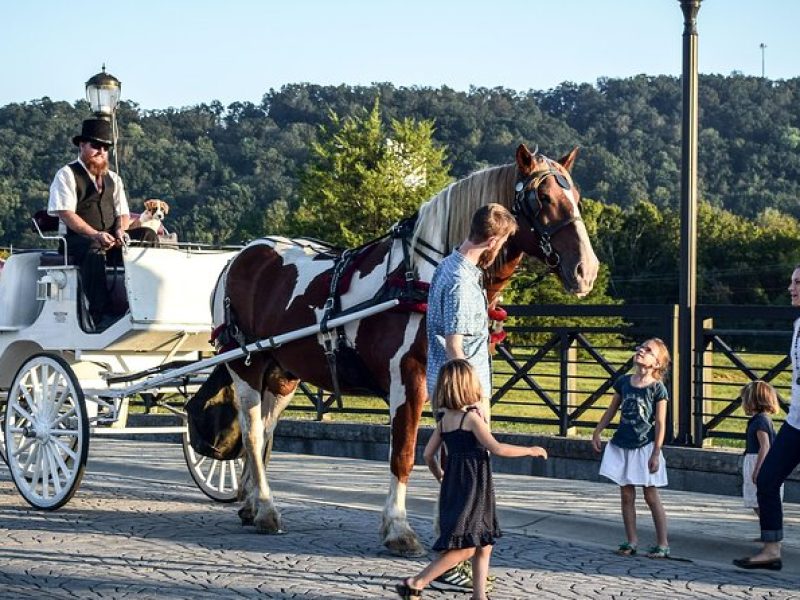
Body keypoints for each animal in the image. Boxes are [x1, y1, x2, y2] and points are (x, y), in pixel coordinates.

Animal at [209, 143, 596, 556]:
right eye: (543, 198)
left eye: (576, 197)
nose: (586, 270)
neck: (428, 278)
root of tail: (240, 256)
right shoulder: (408, 380)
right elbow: (404, 453)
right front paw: (398, 528)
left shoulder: (452, 378)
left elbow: (454, 448)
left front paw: (452, 528)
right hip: (245, 366)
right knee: (251, 431)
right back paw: (266, 508)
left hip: (283, 375)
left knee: (264, 431)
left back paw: (252, 502)